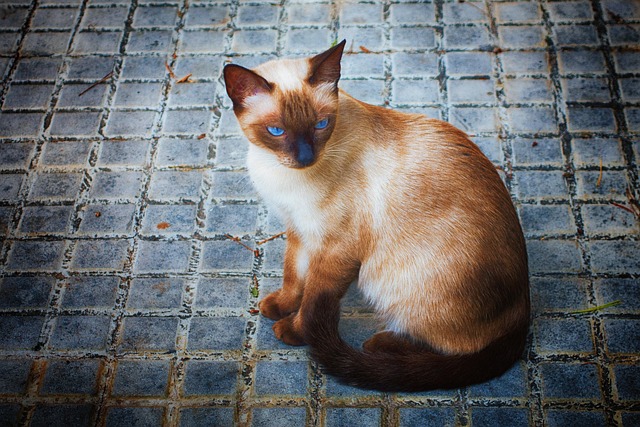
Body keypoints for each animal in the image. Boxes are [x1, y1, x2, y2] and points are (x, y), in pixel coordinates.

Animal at [222, 41, 532, 392]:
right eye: (276, 131)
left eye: (321, 125)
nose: (305, 157)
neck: (279, 173)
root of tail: (523, 317)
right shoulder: (299, 230)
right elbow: (293, 275)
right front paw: (278, 307)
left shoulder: (334, 249)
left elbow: (313, 298)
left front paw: (294, 331)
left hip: (389, 278)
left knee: (456, 348)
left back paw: (380, 347)